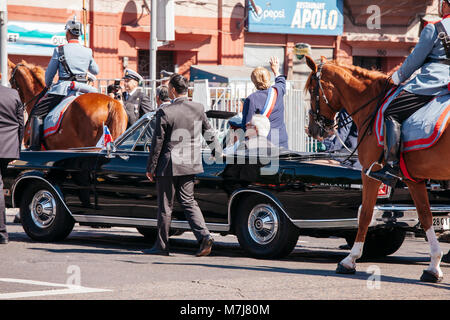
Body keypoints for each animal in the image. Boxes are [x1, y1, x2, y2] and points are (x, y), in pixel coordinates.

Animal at [304, 56, 448, 284]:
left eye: (311, 89)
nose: (313, 129)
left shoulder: (369, 173)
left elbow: (365, 215)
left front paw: (350, 260)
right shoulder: (414, 179)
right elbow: (426, 215)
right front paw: (434, 267)